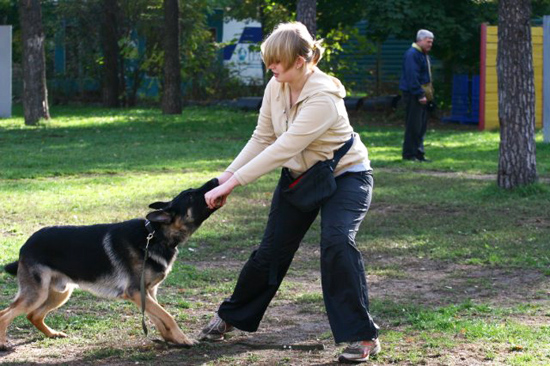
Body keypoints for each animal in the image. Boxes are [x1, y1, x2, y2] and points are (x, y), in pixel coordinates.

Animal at [0, 179, 220, 350]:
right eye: (191, 195)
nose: (216, 180)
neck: (155, 235)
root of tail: (25, 244)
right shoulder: (136, 292)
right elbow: (167, 316)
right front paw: (184, 339)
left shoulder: (148, 293)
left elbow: (159, 318)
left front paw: (172, 340)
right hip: (37, 294)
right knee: (6, 314)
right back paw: (3, 343)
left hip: (59, 293)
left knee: (33, 315)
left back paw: (52, 333)